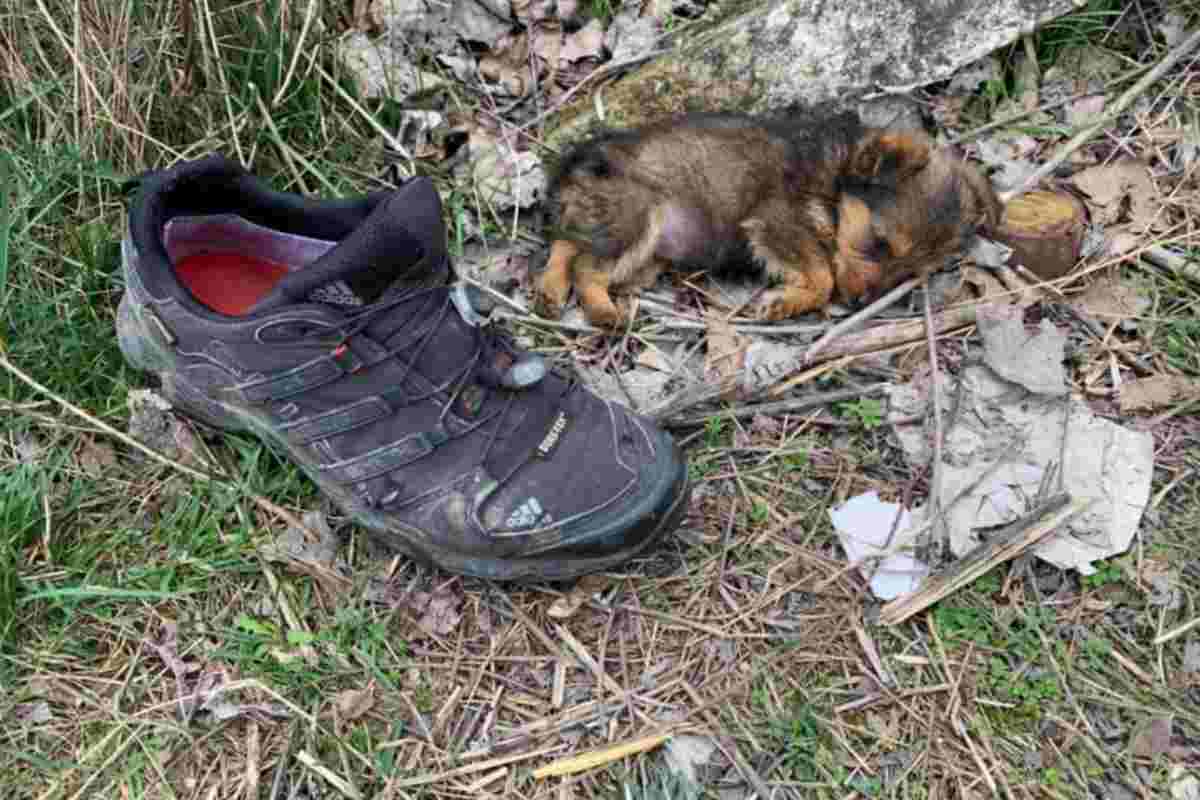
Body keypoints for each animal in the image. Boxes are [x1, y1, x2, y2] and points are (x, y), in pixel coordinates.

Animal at [535, 110, 1003, 326]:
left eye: (909, 273)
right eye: (878, 243)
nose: (858, 304)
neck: (834, 181)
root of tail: (576, 162)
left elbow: (824, 274)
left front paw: (786, 301)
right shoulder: (777, 223)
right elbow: (824, 276)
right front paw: (784, 303)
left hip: (627, 236)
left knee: (566, 242)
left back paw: (550, 291)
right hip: (638, 217)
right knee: (585, 264)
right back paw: (602, 311)